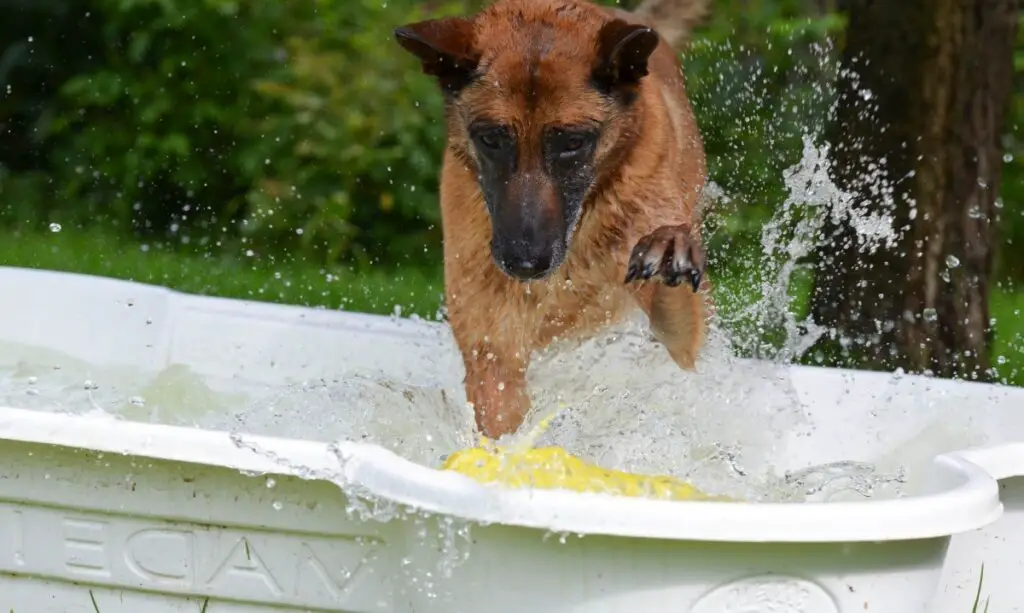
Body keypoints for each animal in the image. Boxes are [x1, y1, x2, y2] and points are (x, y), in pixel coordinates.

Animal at [393, 0, 712, 442]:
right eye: (491, 139)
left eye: (573, 143)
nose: (525, 262)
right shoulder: (493, 349)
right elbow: (501, 418)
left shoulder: (684, 340)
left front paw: (669, 248)